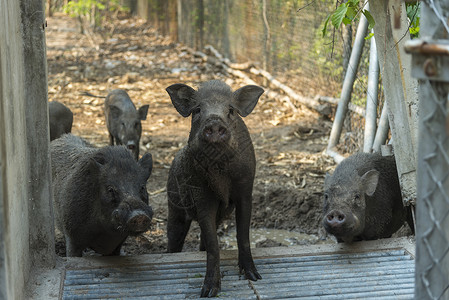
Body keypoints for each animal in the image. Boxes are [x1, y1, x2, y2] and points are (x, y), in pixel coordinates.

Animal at [164, 80, 262, 298]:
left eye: (231, 110)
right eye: (198, 110)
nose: (214, 121)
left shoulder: (246, 190)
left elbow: (243, 235)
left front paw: (254, 277)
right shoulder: (202, 196)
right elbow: (213, 244)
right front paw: (208, 292)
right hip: (174, 207)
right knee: (174, 241)